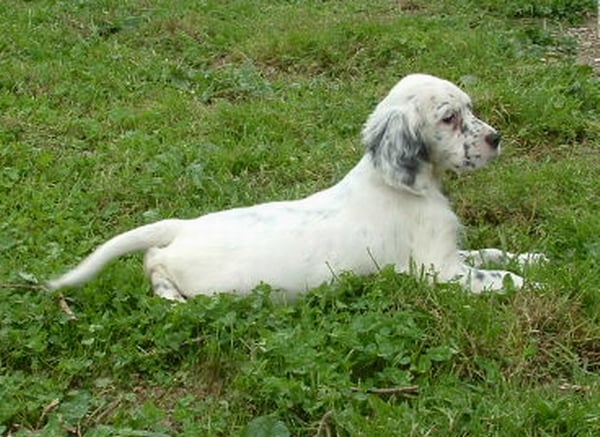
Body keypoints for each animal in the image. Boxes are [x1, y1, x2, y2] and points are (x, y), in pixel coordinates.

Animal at [47, 74, 544, 300]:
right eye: (449, 118)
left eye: (470, 108)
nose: (496, 138)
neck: (411, 187)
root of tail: (182, 226)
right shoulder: (438, 269)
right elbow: (493, 276)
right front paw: (535, 285)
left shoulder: (450, 253)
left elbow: (491, 253)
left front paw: (534, 259)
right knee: (154, 264)